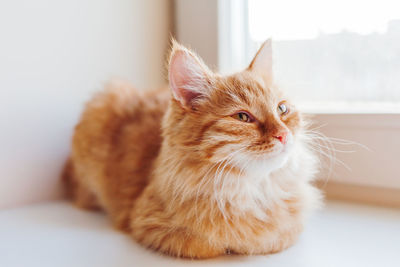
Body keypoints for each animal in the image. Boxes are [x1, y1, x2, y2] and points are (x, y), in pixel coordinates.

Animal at [63, 40, 322, 260]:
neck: (253, 190)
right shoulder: (145, 222)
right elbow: (210, 245)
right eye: (242, 117)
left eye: (282, 109)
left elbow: (276, 237)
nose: (283, 134)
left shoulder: (291, 227)